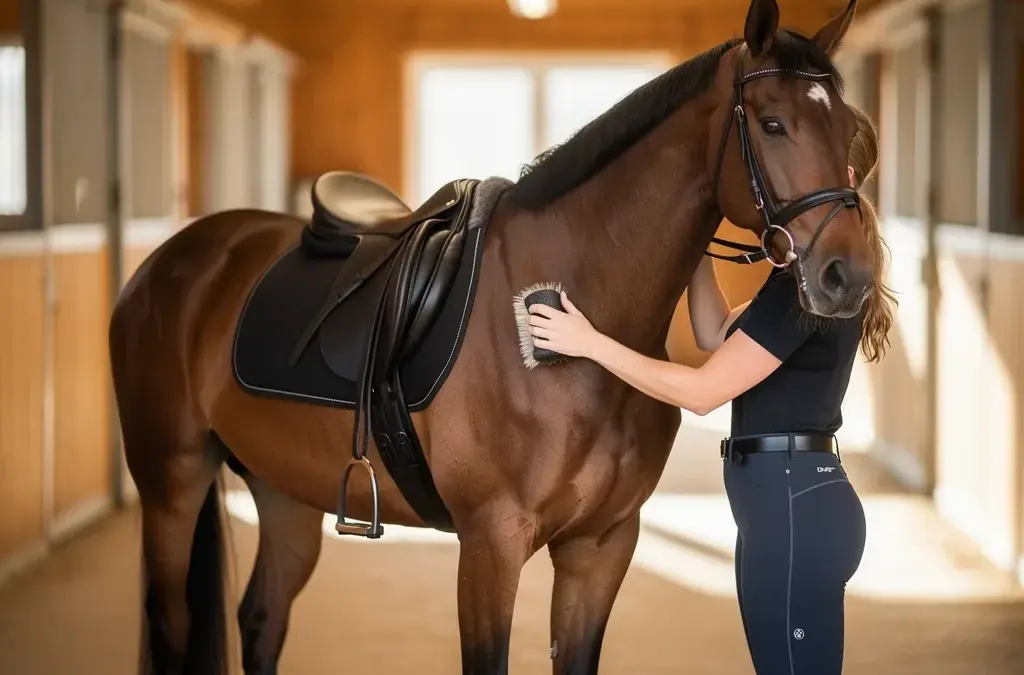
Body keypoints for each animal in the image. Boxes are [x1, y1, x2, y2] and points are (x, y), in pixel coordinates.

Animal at [109, 1, 870, 674]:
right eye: (772, 123)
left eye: (851, 136)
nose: (848, 276)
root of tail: (172, 261)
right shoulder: (490, 545)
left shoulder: (601, 545)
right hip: (172, 480)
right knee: (172, 623)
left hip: (284, 492)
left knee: (261, 619)